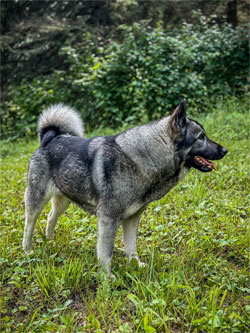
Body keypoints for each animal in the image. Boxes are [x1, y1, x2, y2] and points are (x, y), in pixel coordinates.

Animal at [22, 100, 228, 276]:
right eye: (201, 137)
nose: (225, 150)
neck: (143, 159)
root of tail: (50, 138)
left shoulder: (132, 219)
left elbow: (132, 247)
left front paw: (135, 266)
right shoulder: (108, 220)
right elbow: (106, 253)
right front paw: (107, 278)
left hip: (63, 200)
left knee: (50, 218)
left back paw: (50, 242)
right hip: (36, 200)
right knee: (28, 226)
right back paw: (28, 251)